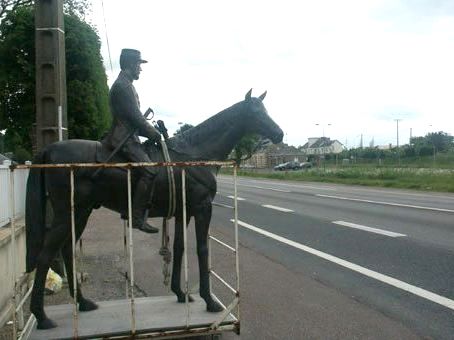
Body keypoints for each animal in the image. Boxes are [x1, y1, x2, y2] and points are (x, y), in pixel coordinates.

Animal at [25, 89, 284, 328]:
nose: (279, 134)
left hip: (81, 212)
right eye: (255, 112)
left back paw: (83, 302)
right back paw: (42, 316)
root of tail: (49, 150)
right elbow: (202, 249)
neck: (195, 154)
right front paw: (209, 301)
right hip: (68, 213)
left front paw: (180, 293)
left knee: (66, 249)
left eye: (266, 109)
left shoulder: (182, 212)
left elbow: (179, 248)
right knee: (46, 254)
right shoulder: (202, 208)